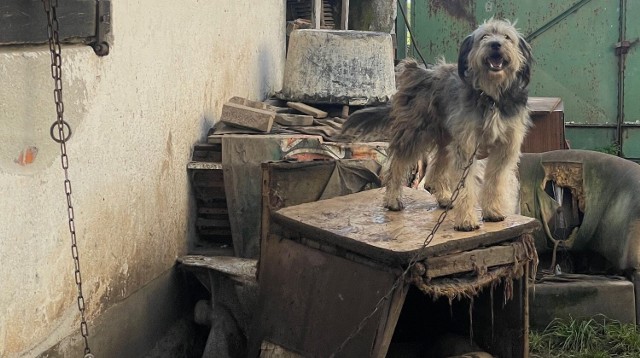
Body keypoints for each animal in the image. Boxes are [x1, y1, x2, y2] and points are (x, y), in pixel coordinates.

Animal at [342, 19, 532, 231]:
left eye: (507, 37)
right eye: (484, 36)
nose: (496, 44)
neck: (491, 97)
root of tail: (416, 71)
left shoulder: (504, 148)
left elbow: (495, 182)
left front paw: (492, 211)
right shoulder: (467, 147)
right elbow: (465, 186)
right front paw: (466, 220)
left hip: (446, 138)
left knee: (434, 174)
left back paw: (444, 198)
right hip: (415, 133)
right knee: (397, 166)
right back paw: (393, 200)